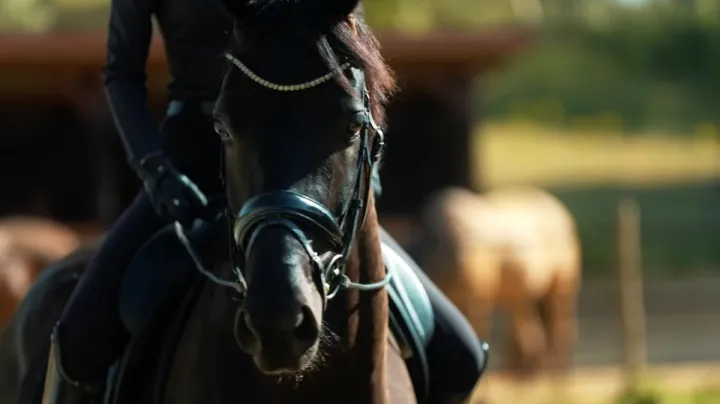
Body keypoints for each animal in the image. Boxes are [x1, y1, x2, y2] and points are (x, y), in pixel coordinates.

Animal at [413, 186, 581, 375]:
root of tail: (560, 209)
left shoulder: (477, 299)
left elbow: (479, 330)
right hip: (524, 291)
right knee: (528, 321)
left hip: (563, 283)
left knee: (560, 319)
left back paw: (554, 371)